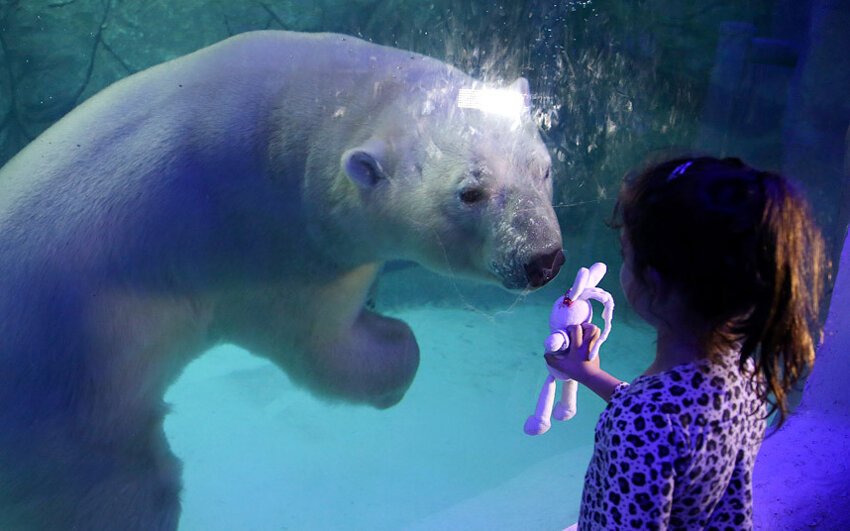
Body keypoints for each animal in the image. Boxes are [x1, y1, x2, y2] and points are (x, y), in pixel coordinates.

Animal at [0, 31, 564, 528]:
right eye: (470, 193)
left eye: (543, 168)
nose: (543, 259)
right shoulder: (274, 247)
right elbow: (320, 346)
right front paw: (391, 347)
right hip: (68, 408)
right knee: (126, 489)